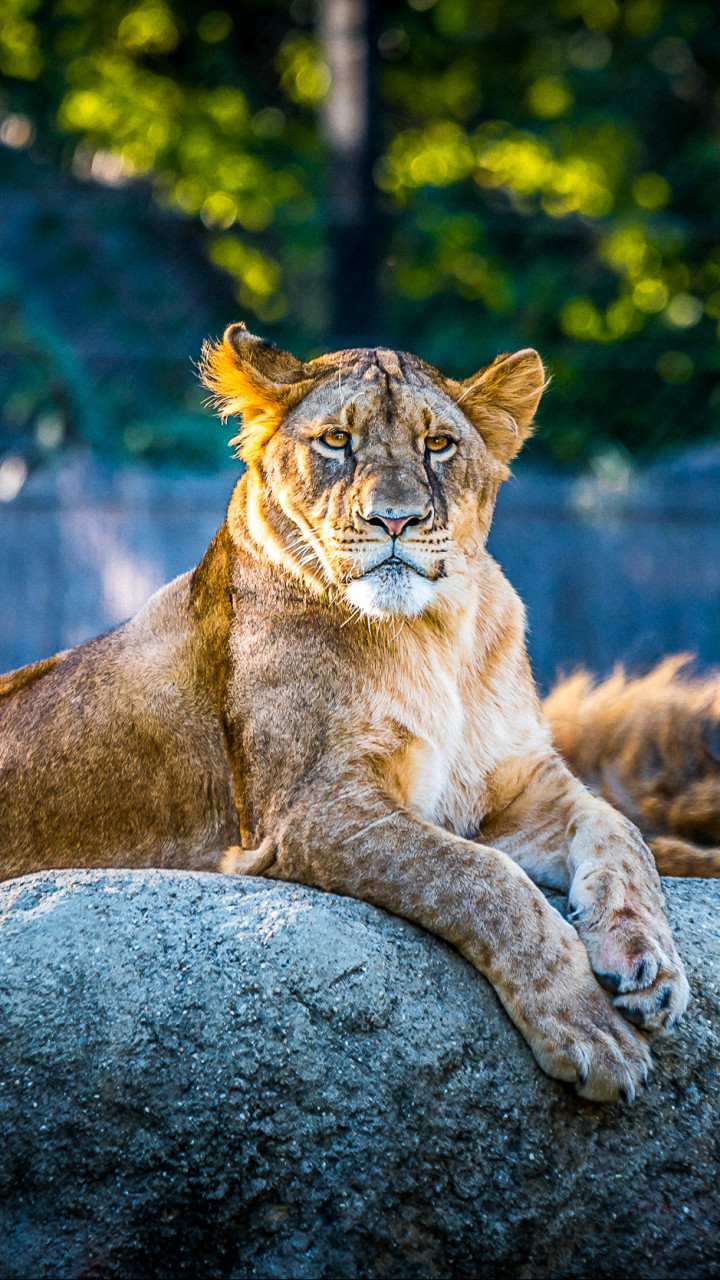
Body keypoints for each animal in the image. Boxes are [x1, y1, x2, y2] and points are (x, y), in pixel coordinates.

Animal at [4, 321, 717, 1103]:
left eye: (438, 444)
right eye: (337, 441)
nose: (395, 519)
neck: (434, 635)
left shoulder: (515, 787)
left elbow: (621, 831)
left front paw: (646, 963)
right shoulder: (312, 812)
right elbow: (481, 878)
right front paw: (589, 1029)